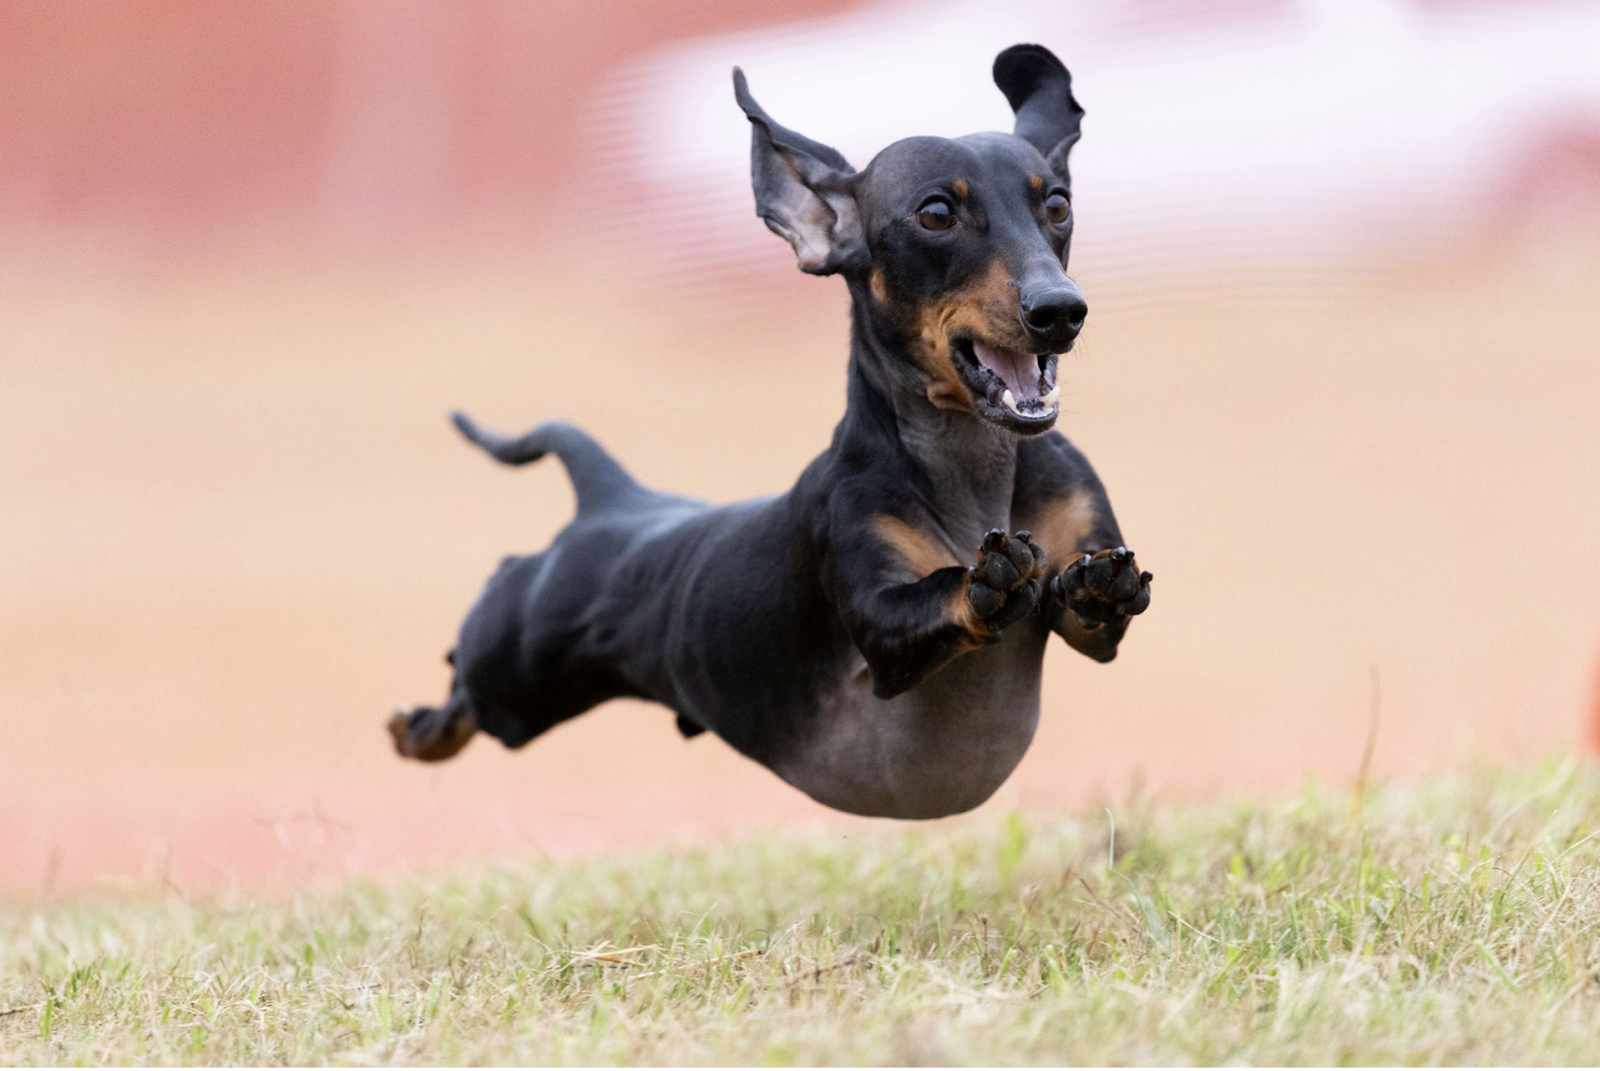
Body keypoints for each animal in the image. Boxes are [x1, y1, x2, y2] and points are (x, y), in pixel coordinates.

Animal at [393, 39, 1158, 810]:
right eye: (937, 213)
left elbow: (1092, 608)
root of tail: (611, 498)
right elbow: (940, 593)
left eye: (1057, 204)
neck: (974, 466)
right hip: (511, 676)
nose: (1060, 310)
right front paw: (986, 580)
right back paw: (420, 728)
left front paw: (1100, 583)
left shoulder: (1084, 604)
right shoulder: (883, 628)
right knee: (461, 692)